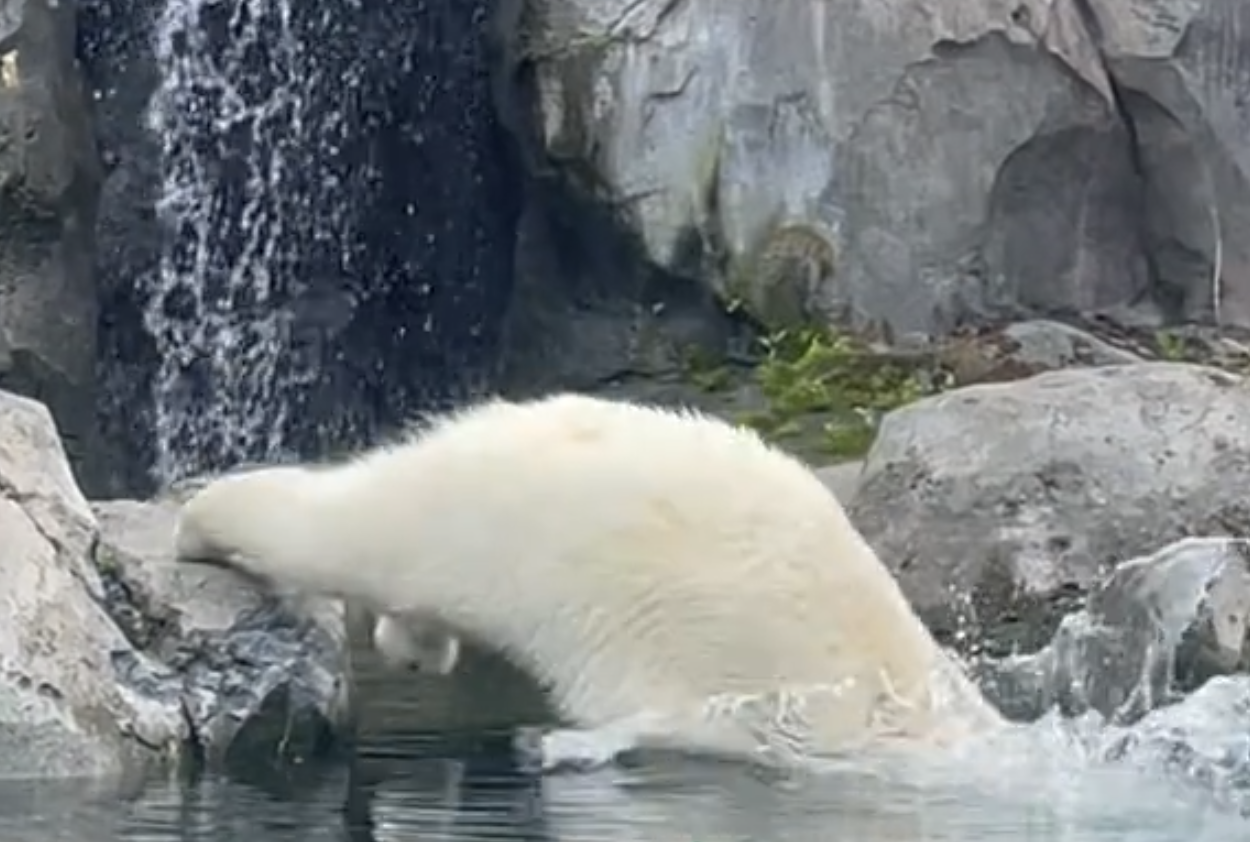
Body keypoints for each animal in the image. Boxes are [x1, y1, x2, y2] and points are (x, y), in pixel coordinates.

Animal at [172, 392, 1004, 771]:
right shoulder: (782, 715)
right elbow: (673, 721)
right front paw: (559, 744)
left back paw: (414, 644)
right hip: (504, 522)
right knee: (352, 529)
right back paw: (200, 518)